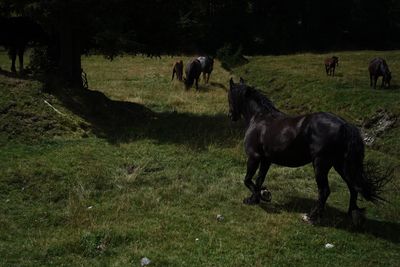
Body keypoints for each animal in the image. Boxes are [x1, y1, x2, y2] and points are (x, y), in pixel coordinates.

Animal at [230, 78, 390, 226]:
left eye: (230, 95)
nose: (231, 115)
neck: (260, 119)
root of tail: (344, 125)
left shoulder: (254, 157)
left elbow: (248, 179)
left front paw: (261, 196)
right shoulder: (266, 159)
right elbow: (259, 179)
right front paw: (256, 198)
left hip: (321, 164)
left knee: (325, 191)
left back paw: (312, 217)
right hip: (341, 165)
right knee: (353, 187)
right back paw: (352, 214)